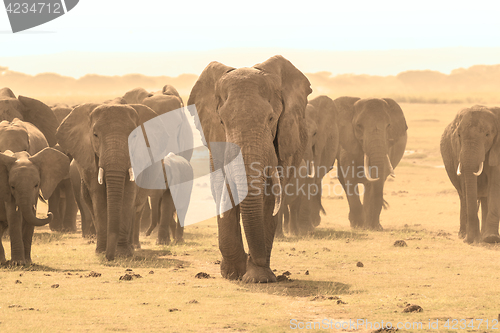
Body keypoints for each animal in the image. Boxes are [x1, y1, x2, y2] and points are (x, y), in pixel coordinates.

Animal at [0, 120, 70, 264]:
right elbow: (14, 215)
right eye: (12, 187)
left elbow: (30, 214)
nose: (49, 213)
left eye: (36, 185)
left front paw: (27, 262)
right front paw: (18, 263)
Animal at [57, 102, 159, 258]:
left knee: (136, 208)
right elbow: (98, 196)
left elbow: (128, 194)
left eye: (135, 136)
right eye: (95, 135)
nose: (110, 257)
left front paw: (123, 253)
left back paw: (133, 247)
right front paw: (101, 251)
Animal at [188, 55, 312, 282]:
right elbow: (222, 186)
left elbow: (270, 195)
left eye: (271, 119)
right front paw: (233, 273)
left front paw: (258, 277)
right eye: (222, 121)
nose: (253, 258)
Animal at [332, 97, 406, 230]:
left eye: (389, 125)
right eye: (358, 126)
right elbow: (349, 177)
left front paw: (374, 227)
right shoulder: (347, 143)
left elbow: (379, 177)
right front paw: (358, 226)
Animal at [440, 105, 500, 243]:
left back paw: (483, 235)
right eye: (459, 135)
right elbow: (465, 181)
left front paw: (491, 238)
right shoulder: (458, 152)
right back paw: (463, 235)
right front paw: (471, 239)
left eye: (487, 134)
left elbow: (495, 183)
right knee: (463, 195)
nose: (470, 240)